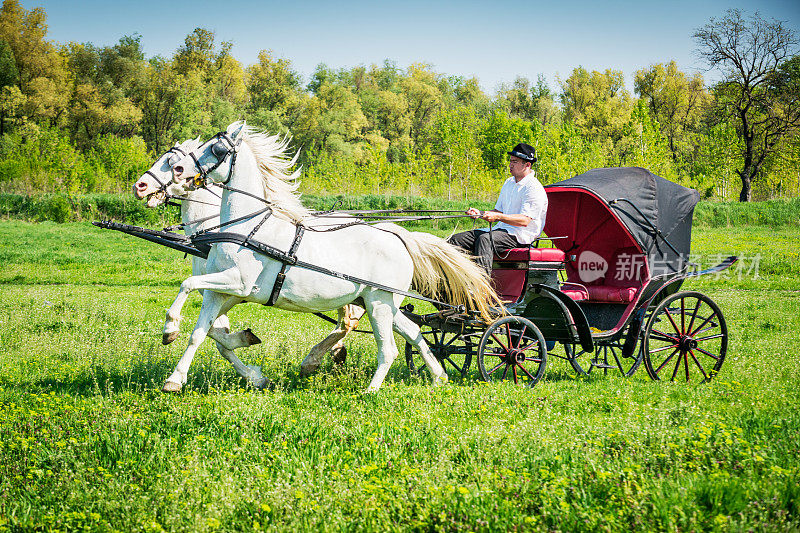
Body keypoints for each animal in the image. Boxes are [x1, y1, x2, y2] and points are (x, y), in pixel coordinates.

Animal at [166, 122, 504, 392]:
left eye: (217, 148)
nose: (179, 170)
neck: (246, 226)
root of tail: (398, 237)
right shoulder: (223, 292)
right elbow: (202, 333)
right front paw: (176, 377)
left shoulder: (237, 283)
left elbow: (187, 284)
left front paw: (169, 329)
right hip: (383, 303)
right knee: (414, 333)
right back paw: (438, 376)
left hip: (379, 304)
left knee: (389, 348)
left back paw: (370, 391)